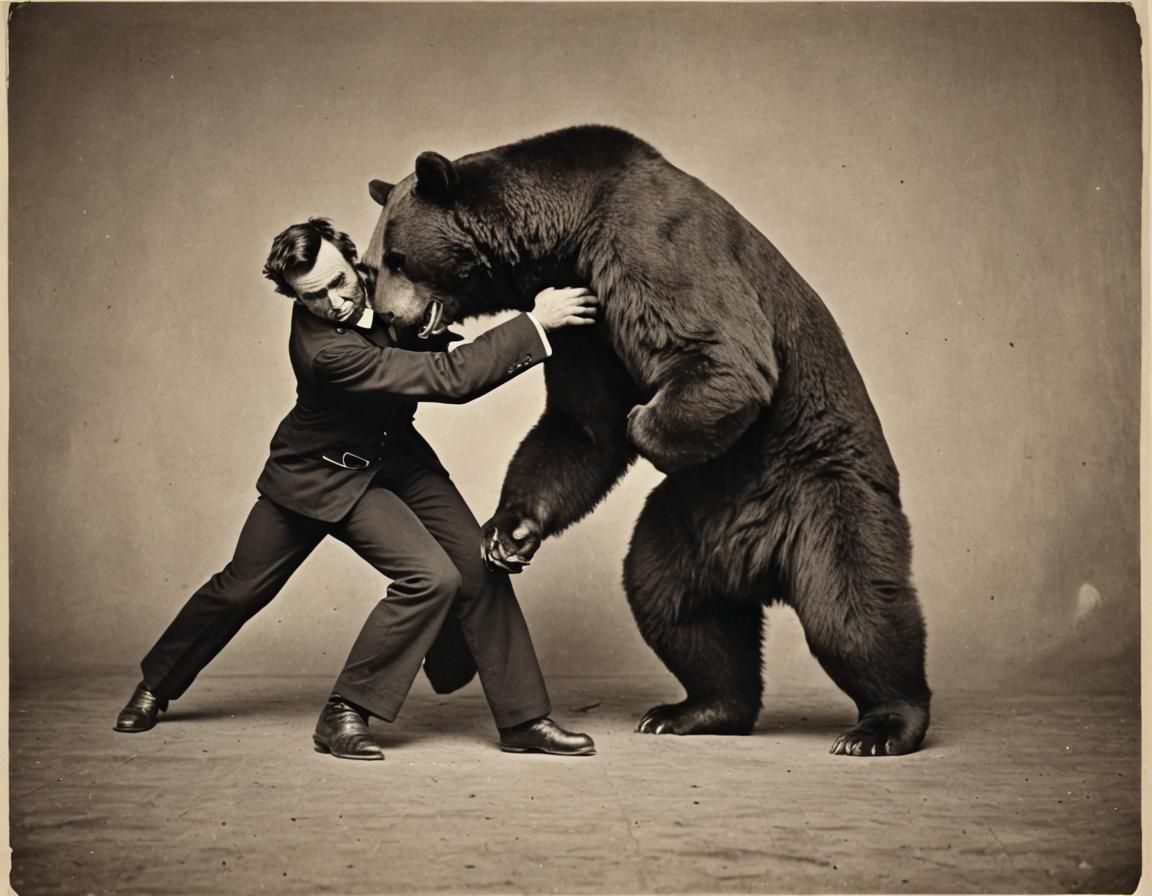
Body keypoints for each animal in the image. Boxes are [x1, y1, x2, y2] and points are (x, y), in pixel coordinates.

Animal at [361, 125, 931, 756]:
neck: (567, 229)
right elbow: (581, 424)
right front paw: (508, 533)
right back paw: (693, 709)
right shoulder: (585, 320)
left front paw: (645, 419)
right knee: (673, 601)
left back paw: (883, 724)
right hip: (694, 522)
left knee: (852, 608)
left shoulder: (647, 241)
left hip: (822, 494)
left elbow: (722, 355)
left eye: (396, 258)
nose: (387, 318)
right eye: (370, 265)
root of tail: (761, 565)